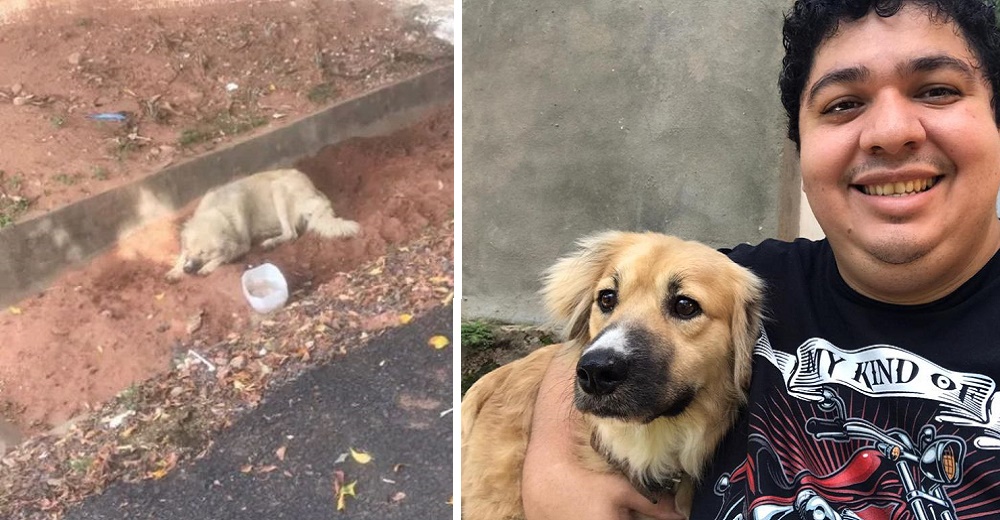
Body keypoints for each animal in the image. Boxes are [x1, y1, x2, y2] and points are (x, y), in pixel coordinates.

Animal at [166, 169, 362, 280]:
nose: (188, 270)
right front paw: (175, 270)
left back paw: (271, 242)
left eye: (203, 253)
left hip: (278, 189)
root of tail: (315, 192)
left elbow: (222, 257)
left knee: (291, 233)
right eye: (190, 250)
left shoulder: (242, 246)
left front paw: (207, 267)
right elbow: (181, 256)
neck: (217, 209)